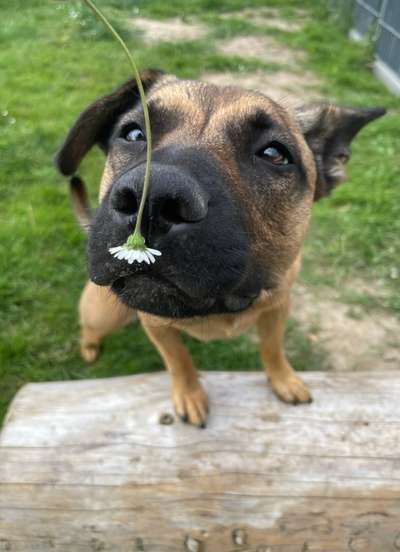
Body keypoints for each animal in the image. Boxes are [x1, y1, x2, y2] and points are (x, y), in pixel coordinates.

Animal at [54, 69, 386, 426]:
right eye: (133, 134)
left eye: (274, 154)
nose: (153, 198)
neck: (220, 308)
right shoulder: (155, 325)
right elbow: (179, 359)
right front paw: (190, 394)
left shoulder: (278, 307)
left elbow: (272, 348)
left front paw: (283, 379)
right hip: (104, 312)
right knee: (90, 328)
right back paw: (89, 347)